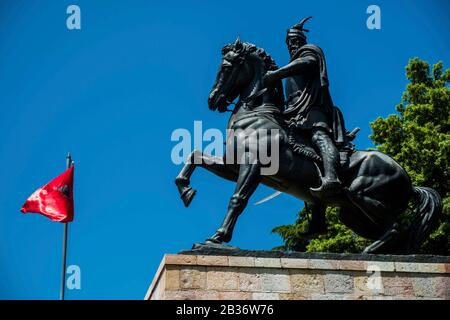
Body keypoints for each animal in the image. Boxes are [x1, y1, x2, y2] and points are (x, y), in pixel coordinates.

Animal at [174, 37, 442, 254]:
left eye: (226, 67)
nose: (213, 100)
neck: (257, 113)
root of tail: (409, 181)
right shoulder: (232, 166)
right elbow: (194, 156)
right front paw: (186, 191)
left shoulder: (253, 166)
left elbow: (237, 199)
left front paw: (217, 238)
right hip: (352, 214)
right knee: (395, 232)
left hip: (362, 194)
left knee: (396, 227)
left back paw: (369, 251)